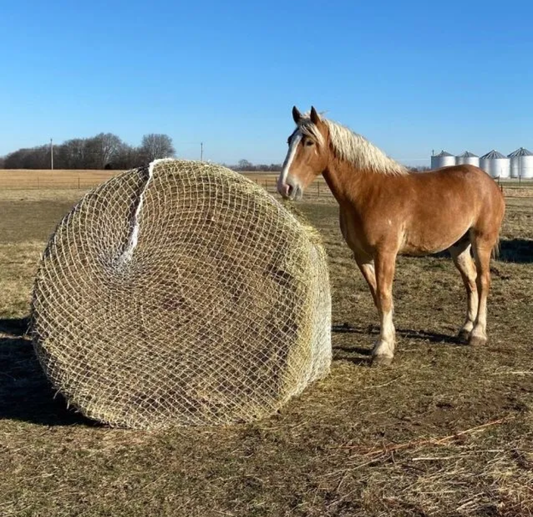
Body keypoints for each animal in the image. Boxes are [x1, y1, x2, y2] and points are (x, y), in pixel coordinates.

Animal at [276, 105, 504, 364]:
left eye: (309, 142)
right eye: (289, 141)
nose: (285, 187)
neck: (367, 192)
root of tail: (489, 183)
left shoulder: (385, 253)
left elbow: (385, 296)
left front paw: (383, 350)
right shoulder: (361, 256)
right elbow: (377, 296)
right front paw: (389, 340)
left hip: (482, 241)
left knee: (483, 280)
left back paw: (478, 333)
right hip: (459, 246)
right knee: (470, 281)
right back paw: (465, 328)